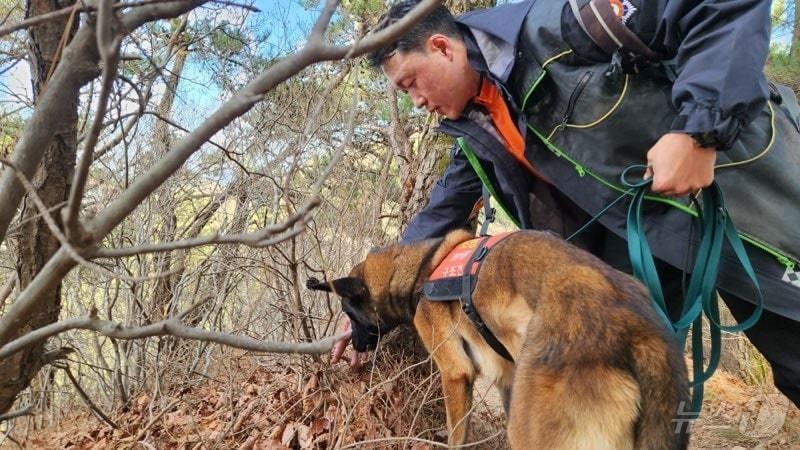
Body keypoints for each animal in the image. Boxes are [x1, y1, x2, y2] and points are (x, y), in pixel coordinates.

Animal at [306, 230, 688, 448]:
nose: (355, 346)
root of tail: (639, 330)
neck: (422, 269)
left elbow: (457, 435)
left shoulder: (456, 372)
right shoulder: (506, 377)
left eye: (350, 314)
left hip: (532, 430)